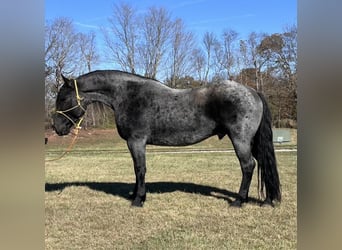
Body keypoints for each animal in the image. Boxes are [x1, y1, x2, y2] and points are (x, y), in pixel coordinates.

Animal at [52, 70, 280, 207]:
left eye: (62, 98)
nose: (56, 127)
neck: (128, 95)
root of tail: (253, 91)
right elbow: (137, 170)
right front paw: (135, 195)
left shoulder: (136, 141)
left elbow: (140, 169)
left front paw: (138, 199)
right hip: (253, 141)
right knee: (264, 163)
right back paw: (268, 200)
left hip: (240, 140)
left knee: (248, 166)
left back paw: (238, 201)